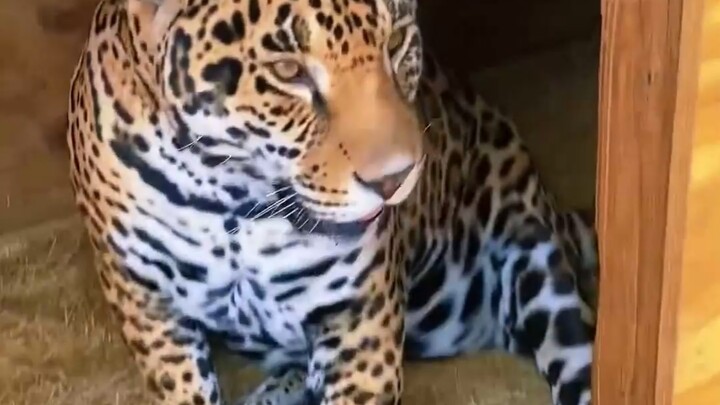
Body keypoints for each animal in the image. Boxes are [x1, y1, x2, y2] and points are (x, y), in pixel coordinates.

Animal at [65, 0, 599, 404]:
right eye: (288, 71)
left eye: (396, 41)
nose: (396, 179)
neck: (233, 199)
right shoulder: (148, 307)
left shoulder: (358, 322)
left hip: (537, 265)